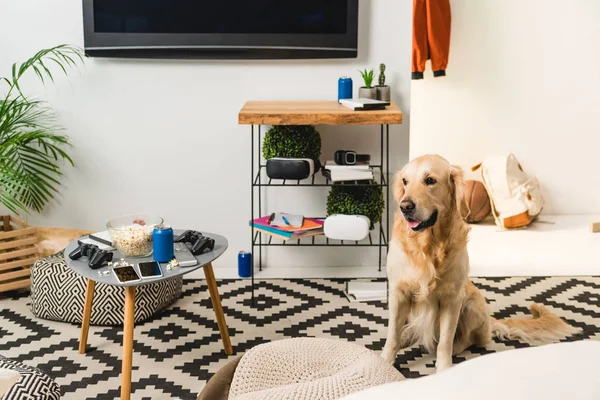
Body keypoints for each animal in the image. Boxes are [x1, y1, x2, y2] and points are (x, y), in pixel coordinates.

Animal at [382, 154, 580, 372]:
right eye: (405, 182)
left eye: (430, 180)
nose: (405, 206)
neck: (427, 246)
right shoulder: (398, 293)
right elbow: (392, 335)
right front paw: (384, 363)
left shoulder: (452, 298)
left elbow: (445, 341)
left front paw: (444, 369)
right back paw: (406, 337)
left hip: (472, 305)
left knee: (473, 339)